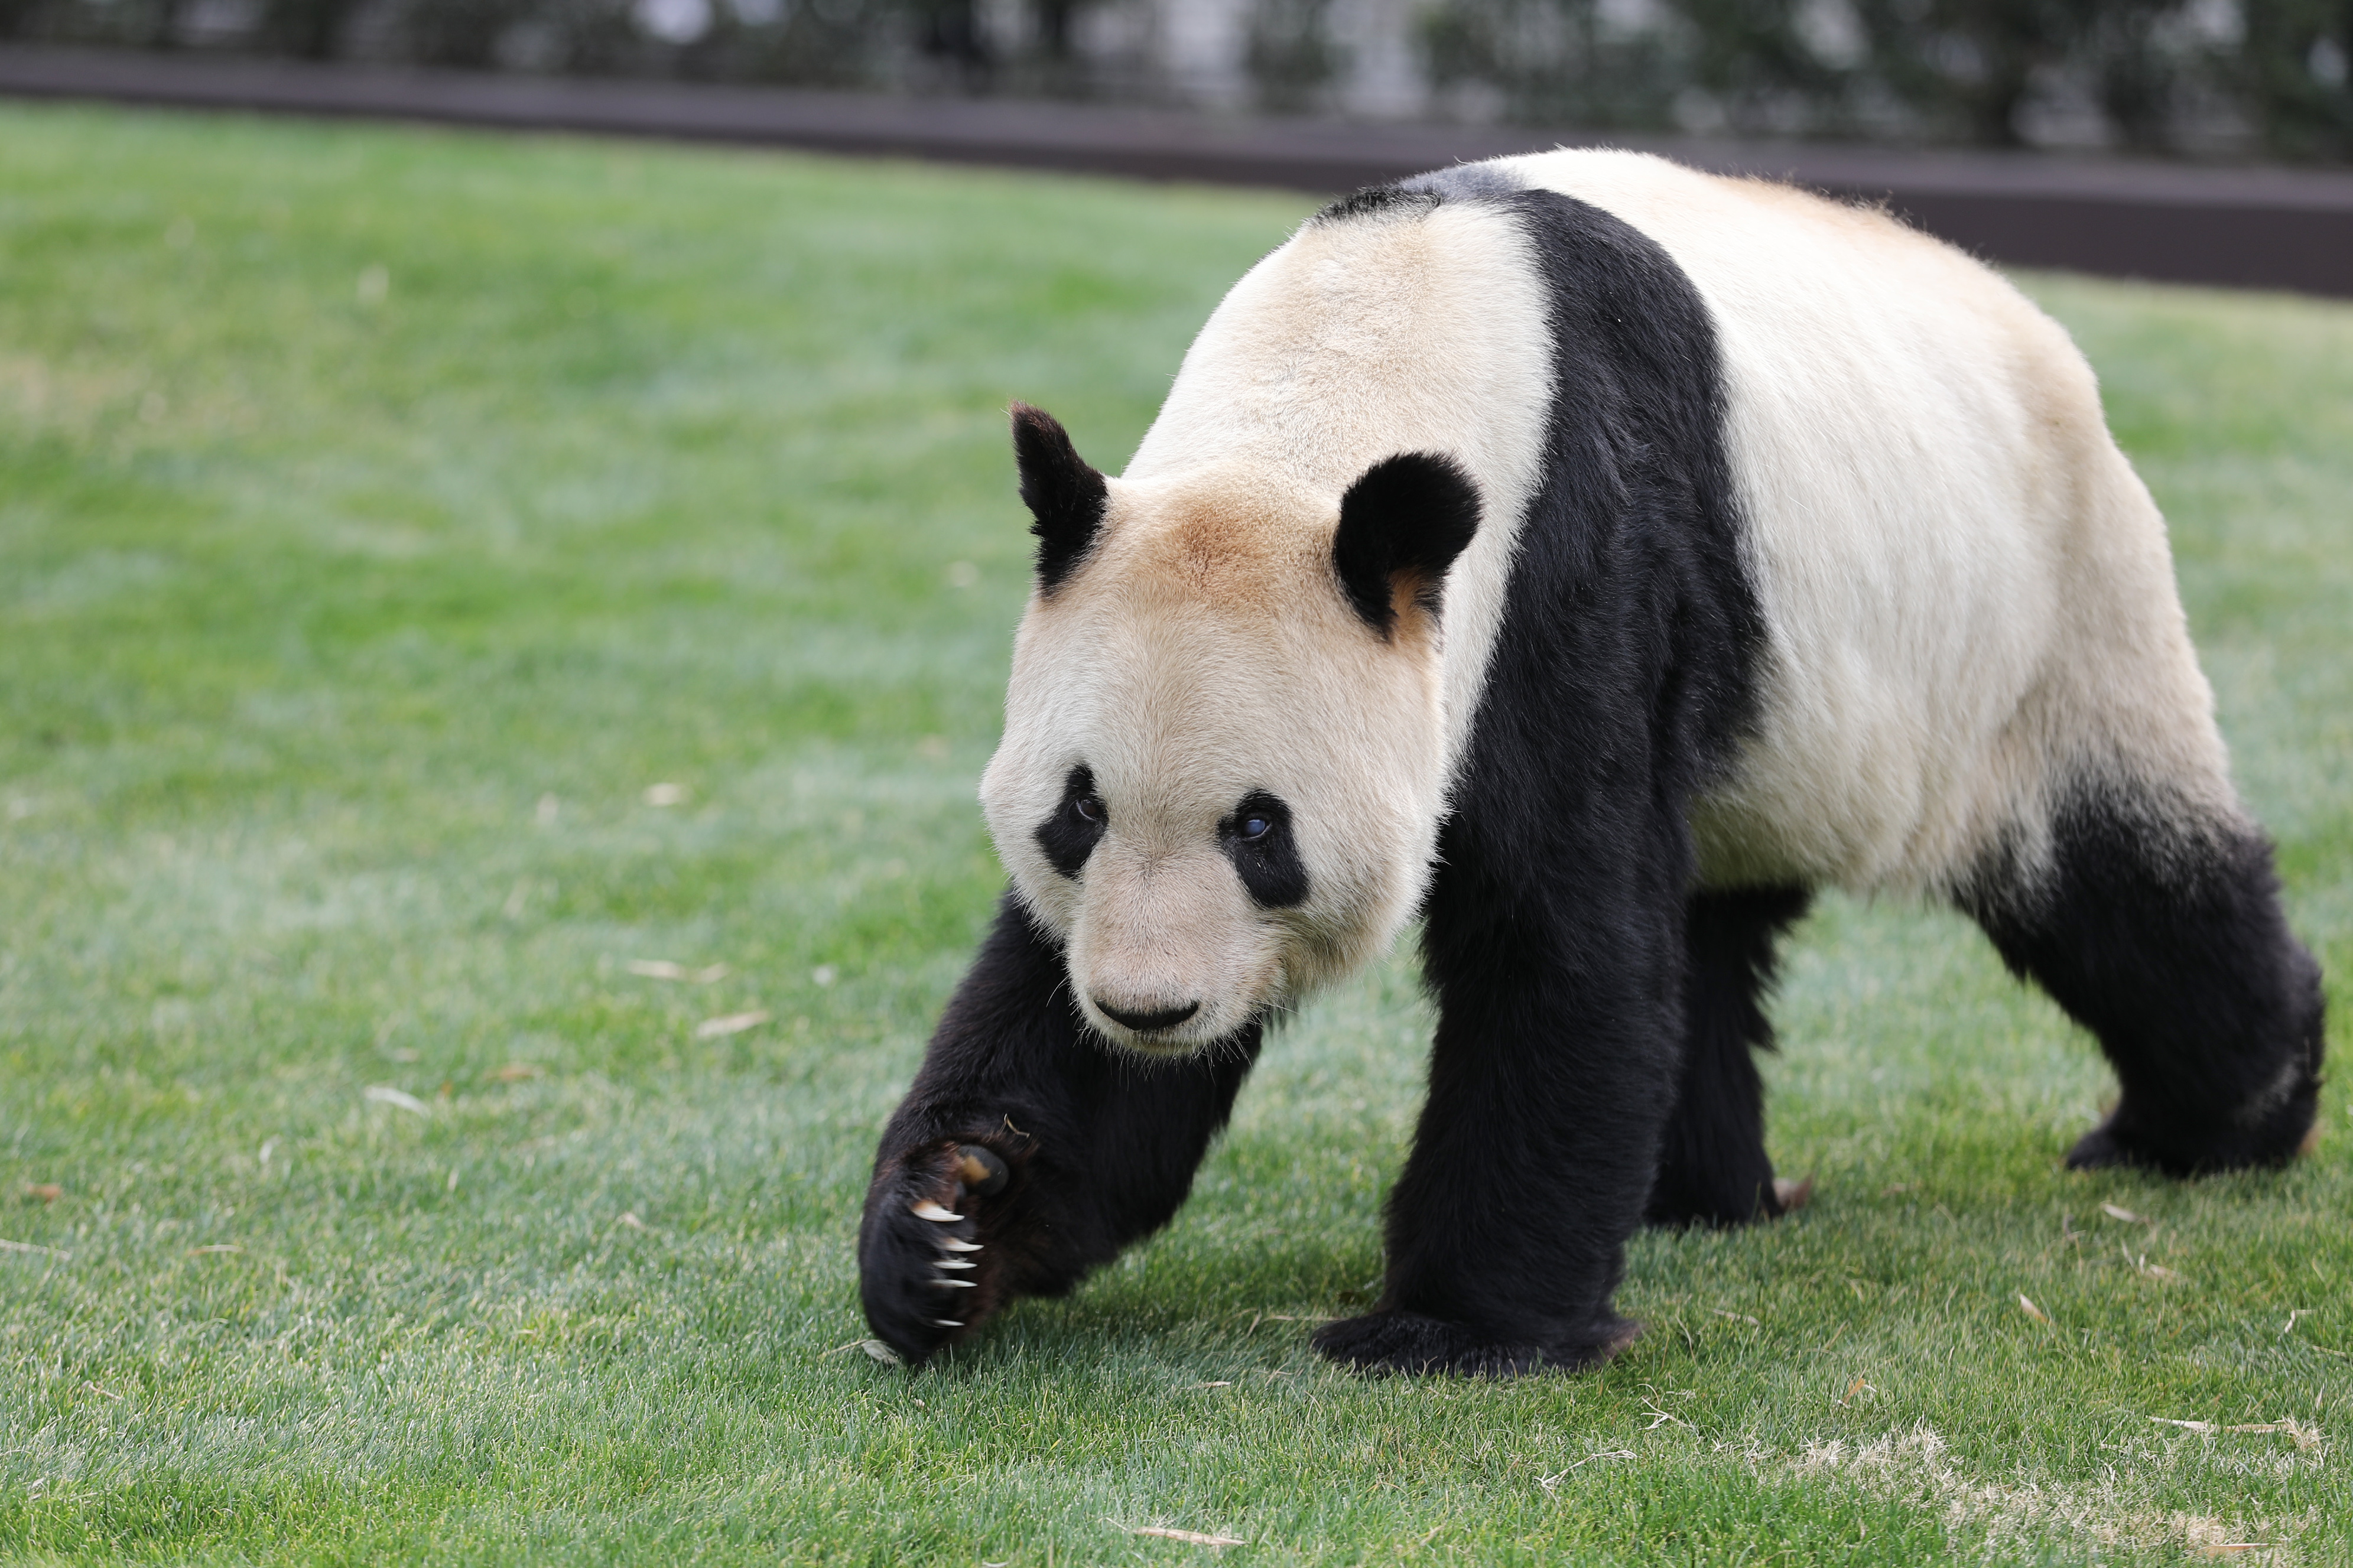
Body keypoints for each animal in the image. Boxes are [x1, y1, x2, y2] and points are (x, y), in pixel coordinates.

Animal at [856, 147, 2325, 1365]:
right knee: (1706, 929)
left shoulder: (1572, 568)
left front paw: (1453, 1328)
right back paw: (1704, 1197)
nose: (1150, 1010)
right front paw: (952, 1226)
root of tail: (2032, 327)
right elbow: (1044, 1007)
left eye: (1259, 830)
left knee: (2123, 878)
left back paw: (2216, 1120)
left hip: (2044, 623)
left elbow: (1555, 935)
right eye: (1077, 815)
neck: (1339, 369)